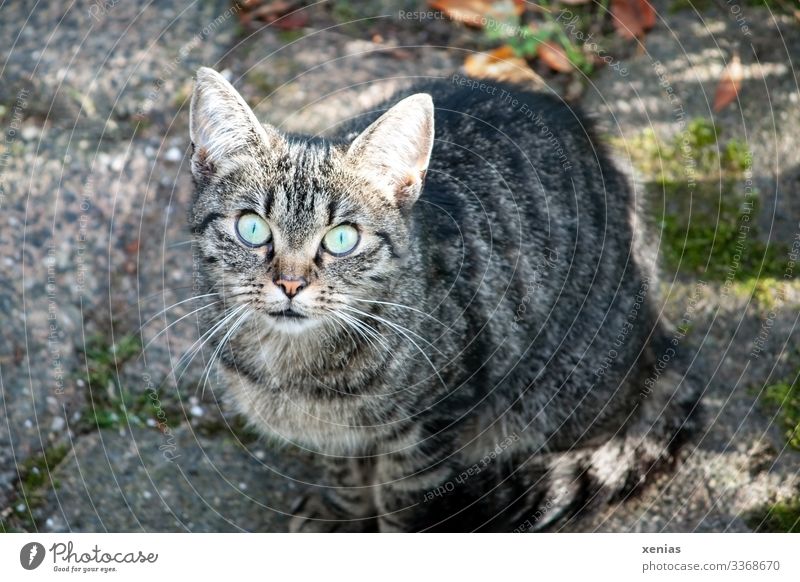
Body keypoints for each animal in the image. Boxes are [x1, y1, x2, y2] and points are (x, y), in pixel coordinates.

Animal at [188, 67, 700, 532]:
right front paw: (339, 516)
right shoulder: (335, 438)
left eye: (342, 238)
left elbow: (400, 503)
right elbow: (344, 475)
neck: (295, 368)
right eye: (252, 228)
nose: (291, 284)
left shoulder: (431, 425)